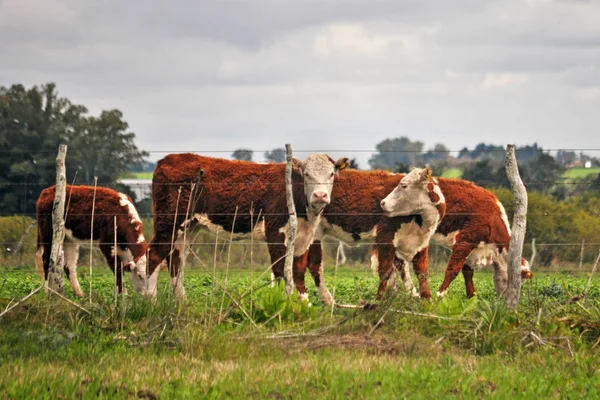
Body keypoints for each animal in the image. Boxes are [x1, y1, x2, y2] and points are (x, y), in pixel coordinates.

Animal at [146, 152, 350, 298]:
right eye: (307, 174)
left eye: (331, 174)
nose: (320, 195)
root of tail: (168, 159)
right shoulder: (275, 232)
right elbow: (280, 271)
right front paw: (283, 305)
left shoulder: (303, 239)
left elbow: (297, 272)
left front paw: (303, 305)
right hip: (170, 222)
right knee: (154, 254)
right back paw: (150, 301)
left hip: (188, 228)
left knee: (176, 260)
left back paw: (181, 303)